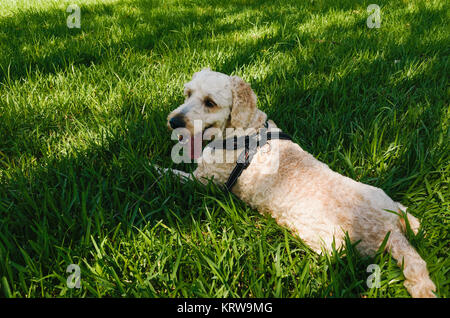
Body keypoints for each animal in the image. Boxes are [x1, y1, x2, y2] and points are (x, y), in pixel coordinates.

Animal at [161, 67, 436, 298]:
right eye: (188, 93)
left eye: (210, 102)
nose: (173, 121)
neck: (245, 131)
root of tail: (388, 230)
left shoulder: (203, 182)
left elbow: (166, 173)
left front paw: (153, 169)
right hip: (386, 200)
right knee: (410, 217)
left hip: (331, 244)